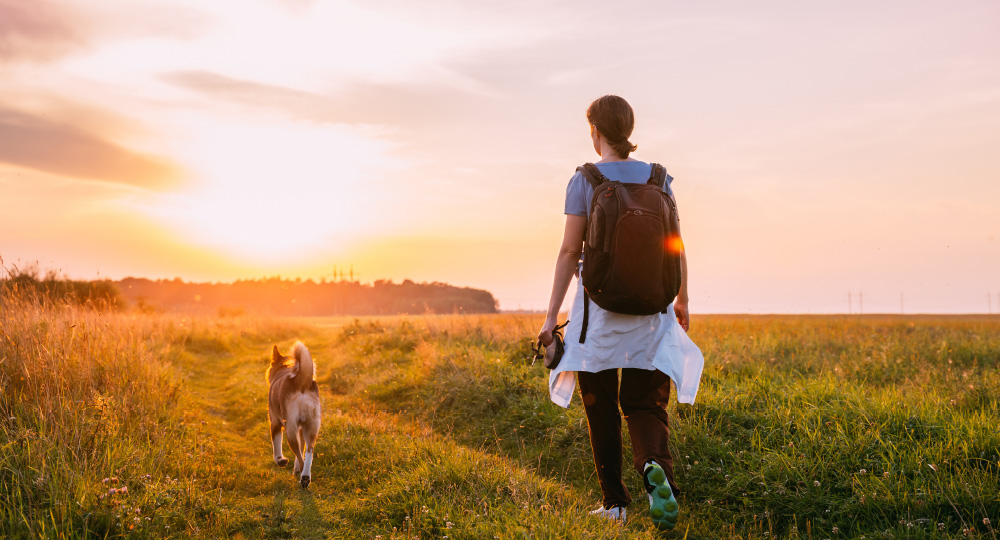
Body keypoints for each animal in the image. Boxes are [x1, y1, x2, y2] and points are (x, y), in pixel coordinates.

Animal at [266, 342, 320, 490]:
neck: (284, 368)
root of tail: (301, 382)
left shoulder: (275, 423)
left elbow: (276, 445)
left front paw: (280, 460)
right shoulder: (301, 430)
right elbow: (302, 449)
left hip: (290, 429)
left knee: (301, 458)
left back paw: (304, 478)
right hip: (311, 427)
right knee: (308, 452)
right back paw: (304, 475)